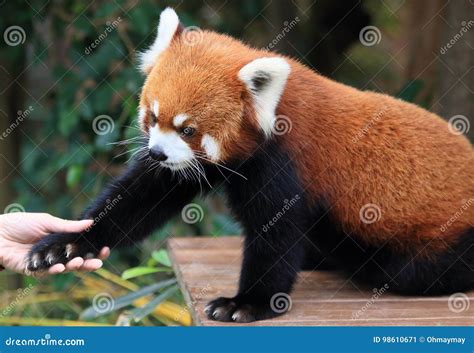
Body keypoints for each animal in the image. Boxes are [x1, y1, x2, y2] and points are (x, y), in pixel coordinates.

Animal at [28, 8, 470, 322]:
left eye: (188, 129)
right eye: (152, 118)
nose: (157, 154)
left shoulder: (282, 162)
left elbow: (275, 234)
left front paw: (247, 302)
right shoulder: (197, 165)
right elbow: (143, 197)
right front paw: (65, 244)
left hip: (433, 240)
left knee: (412, 271)